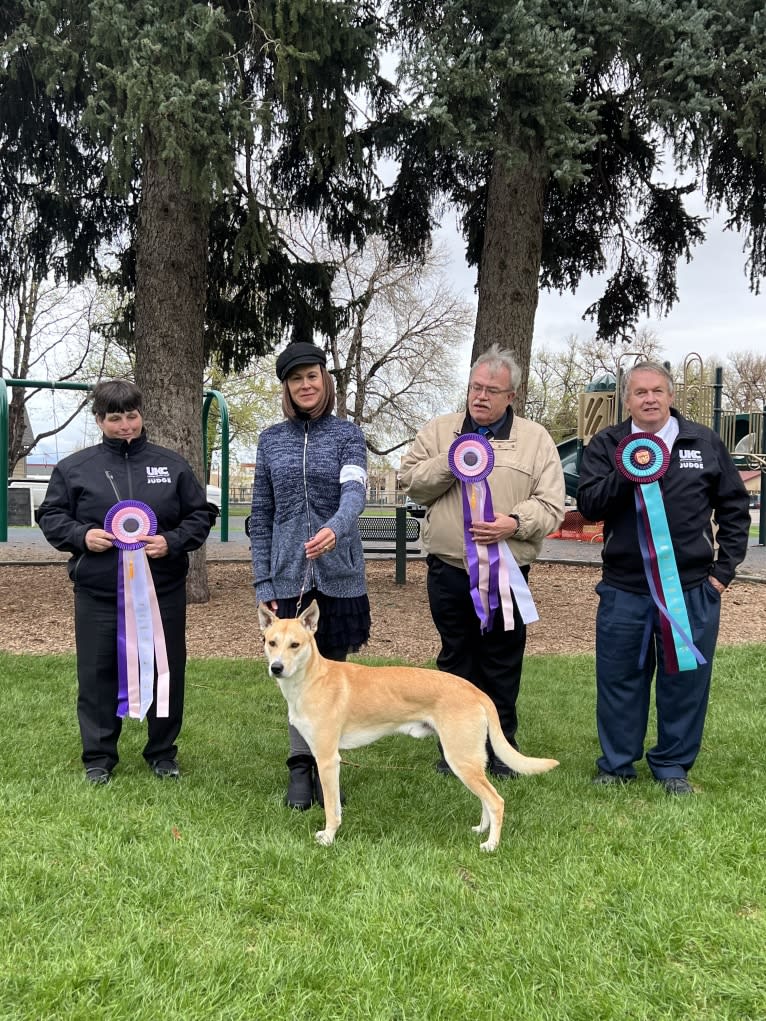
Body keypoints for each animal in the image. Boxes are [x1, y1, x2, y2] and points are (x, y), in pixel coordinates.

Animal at [258, 600, 559, 849]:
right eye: (271, 642)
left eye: (295, 645)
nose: (276, 668)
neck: (311, 679)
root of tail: (476, 691)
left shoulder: (327, 758)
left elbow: (332, 808)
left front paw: (329, 837)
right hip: (472, 760)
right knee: (486, 798)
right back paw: (481, 830)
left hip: (460, 759)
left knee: (496, 801)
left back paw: (491, 845)